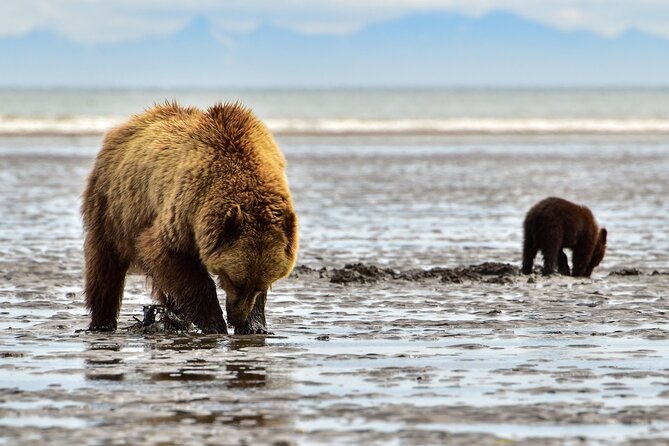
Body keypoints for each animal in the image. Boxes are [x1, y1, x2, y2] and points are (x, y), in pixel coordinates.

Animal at [81, 101, 298, 334]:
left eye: (259, 285)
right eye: (234, 282)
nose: (236, 319)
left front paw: (255, 326)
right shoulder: (186, 207)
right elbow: (170, 254)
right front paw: (215, 323)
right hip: (113, 205)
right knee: (105, 266)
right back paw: (103, 322)